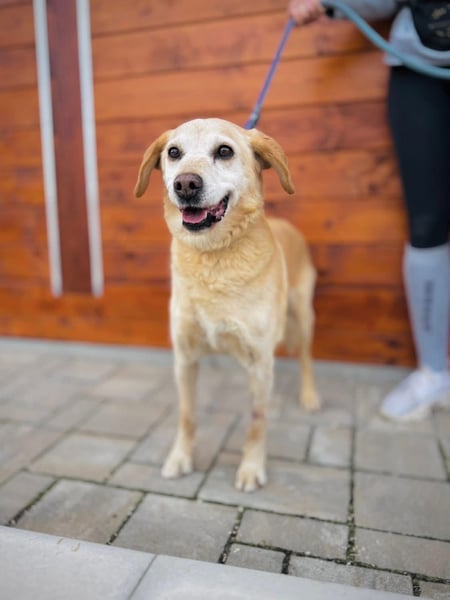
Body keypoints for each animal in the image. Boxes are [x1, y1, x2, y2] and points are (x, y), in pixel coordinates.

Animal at [135, 118, 320, 492]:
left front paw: (251, 468)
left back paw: (309, 395)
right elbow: (187, 415)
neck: (213, 257)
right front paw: (180, 458)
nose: (185, 184)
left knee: (306, 357)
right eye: (173, 152)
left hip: (303, 317)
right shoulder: (185, 357)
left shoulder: (260, 361)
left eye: (224, 151)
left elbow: (257, 419)